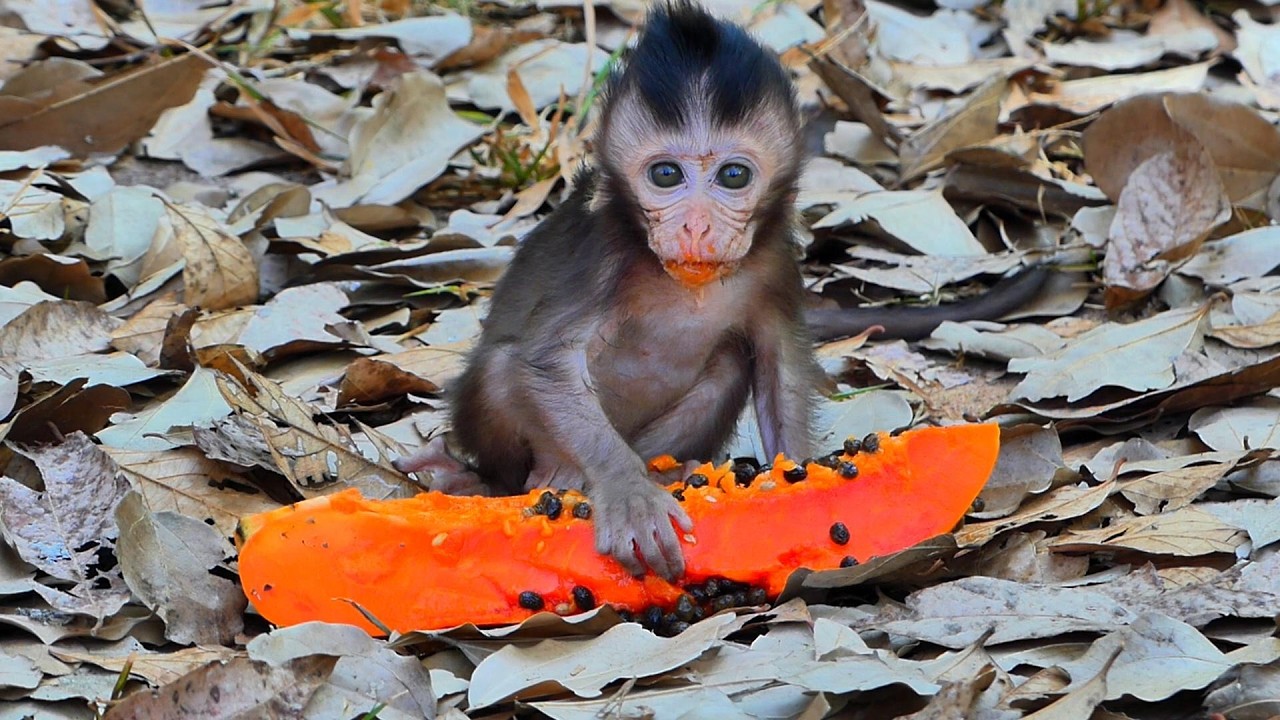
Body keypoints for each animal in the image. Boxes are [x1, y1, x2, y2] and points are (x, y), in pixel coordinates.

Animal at [396, 2, 1046, 580]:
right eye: (666, 175)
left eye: (733, 176)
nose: (696, 227)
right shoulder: (599, 255)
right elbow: (546, 361)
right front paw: (628, 493)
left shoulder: (774, 260)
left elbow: (779, 361)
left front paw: (806, 484)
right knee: (502, 373)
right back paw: (500, 477)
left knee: (730, 361)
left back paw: (665, 470)